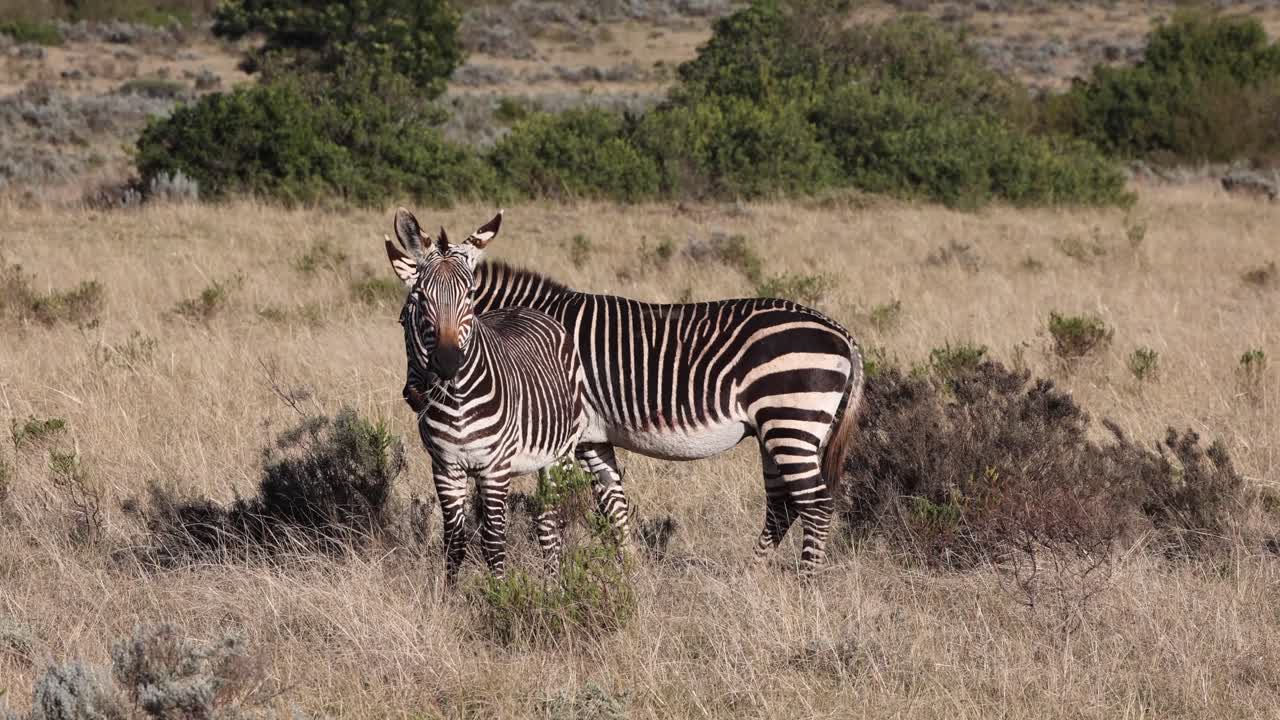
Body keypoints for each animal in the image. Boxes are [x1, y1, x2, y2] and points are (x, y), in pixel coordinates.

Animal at [385, 208, 586, 581]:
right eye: (414, 308)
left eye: (468, 296)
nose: (447, 362)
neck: (458, 404)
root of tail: (523, 308)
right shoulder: (446, 468)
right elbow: (454, 543)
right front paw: (448, 594)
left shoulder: (494, 469)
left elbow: (494, 543)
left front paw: (500, 592)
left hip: (561, 453)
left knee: (550, 523)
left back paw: (555, 585)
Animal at [467, 228, 865, 572]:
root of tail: (841, 332)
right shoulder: (593, 438)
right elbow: (613, 503)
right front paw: (630, 571)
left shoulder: (561, 432)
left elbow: (552, 511)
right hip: (775, 430)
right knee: (782, 505)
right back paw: (754, 574)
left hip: (790, 418)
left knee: (816, 505)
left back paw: (805, 584)